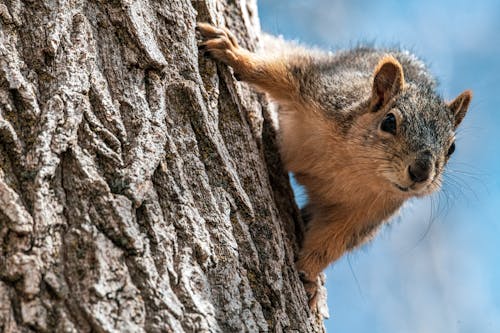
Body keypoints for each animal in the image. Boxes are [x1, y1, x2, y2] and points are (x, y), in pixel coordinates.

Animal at [196, 23, 472, 308]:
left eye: (451, 148)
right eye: (389, 122)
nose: (421, 172)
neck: (354, 166)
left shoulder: (367, 212)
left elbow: (331, 243)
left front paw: (308, 276)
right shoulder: (323, 90)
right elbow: (276, 73)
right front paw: (232, 52)